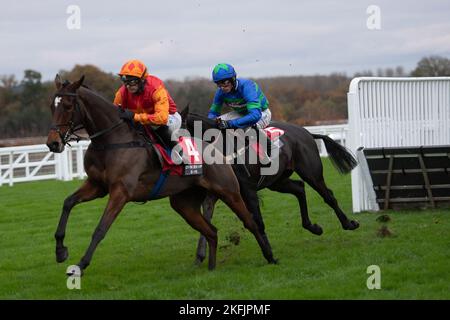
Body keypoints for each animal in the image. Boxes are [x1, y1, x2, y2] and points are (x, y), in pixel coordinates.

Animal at [47, 75, 276, 276]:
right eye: (52, 106)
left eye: (67, 106)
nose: (53, 143)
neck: (111, 141)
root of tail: (218, 152)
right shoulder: (97, 185)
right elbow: (68, 203)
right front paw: (60, 251)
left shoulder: (120, 192)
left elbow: (101, 228)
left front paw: (80, 265)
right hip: (184, 203)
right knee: (212, 231)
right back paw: (211, 267)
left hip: (229, 192)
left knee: (250, 222)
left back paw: (270, 257)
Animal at [181, 109, 360, 264]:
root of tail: (306, 132)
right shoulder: (216, 193)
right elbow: (206, 219)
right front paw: (200, 256)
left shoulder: (248, 190)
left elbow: (258, 222)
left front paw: (269, 253)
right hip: (277, 181)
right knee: (299, 188)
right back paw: (312, 227)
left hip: (311, 173)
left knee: (328, 196)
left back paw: (349, 224)